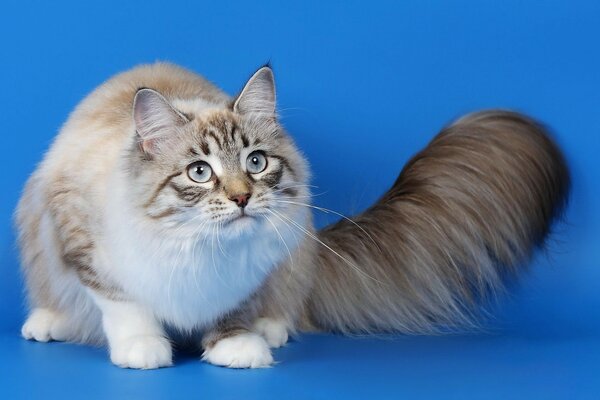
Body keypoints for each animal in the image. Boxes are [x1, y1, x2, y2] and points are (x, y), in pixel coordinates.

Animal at [14, 62, 568, 368]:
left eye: (256, 163)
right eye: (199, 172)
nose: (241, 198)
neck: (198, 247)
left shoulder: (255, 270)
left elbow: (233, 310)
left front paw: (238, 347)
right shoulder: (79, 235)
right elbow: (124, 304)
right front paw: (144, 349)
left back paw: (272, 329)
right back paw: (47, 323)